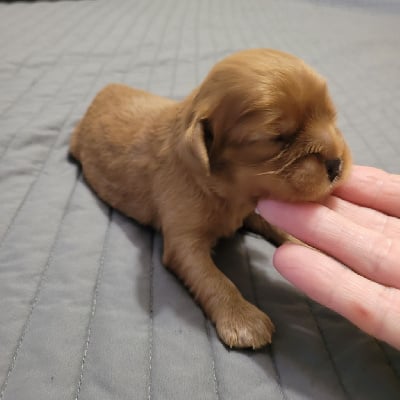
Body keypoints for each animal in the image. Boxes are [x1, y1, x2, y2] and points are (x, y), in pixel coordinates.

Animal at [70, 49, 352, 350]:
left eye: (331, 115)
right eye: (278, 138)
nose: (336, 164)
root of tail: (105, 88)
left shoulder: (249, 208)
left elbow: (277, 225)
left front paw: (311, 247)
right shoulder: (184, 240)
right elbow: (212, 278)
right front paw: (243, 319)